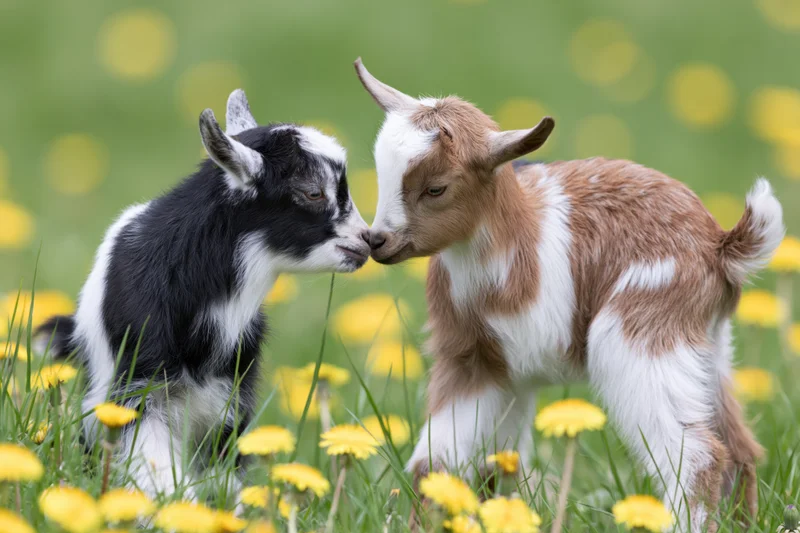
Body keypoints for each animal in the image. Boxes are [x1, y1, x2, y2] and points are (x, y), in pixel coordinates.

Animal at [354, 58, 783, 531]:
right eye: (382, 175)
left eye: (436, 188)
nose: (377, 241)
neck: (516, 238)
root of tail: (719, 245)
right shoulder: (479, 362)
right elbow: (456, 463)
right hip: (708, 345)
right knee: (740, 448)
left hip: (640, 336)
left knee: (699, 453)